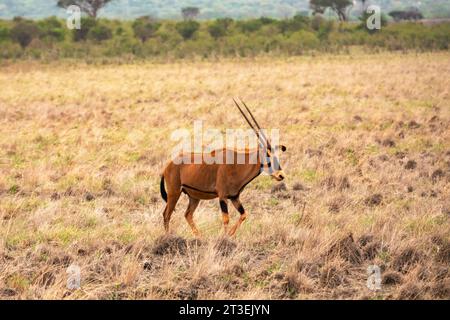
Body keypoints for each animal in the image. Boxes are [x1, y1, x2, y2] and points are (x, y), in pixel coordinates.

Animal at [160, 99, 286, 236]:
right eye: (267, 155)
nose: (281, 175)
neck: (238, 164)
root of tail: (168, 166)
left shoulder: (234, 197)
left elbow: (243, 215)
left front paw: (230, 234)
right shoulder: (222, 196)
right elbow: (226, 219)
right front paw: (225, 237)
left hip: (194, 197)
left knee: (187, 214)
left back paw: (199, 236)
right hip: (174, 193)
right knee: (167, 214)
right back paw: (168, 236)